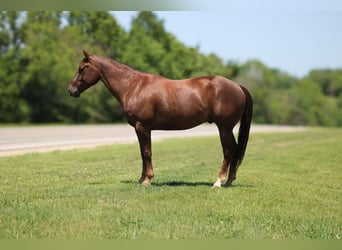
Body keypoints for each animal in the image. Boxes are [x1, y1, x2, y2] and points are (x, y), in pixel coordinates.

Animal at [68, 49, 252, 187]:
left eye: (82, 68)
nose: (71, 90)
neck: (134, 86)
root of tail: (237, 86)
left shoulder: (142, 126)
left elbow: (147, 152)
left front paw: (147, 180)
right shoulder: (140, 128)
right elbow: (143, 153)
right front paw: (141, 179)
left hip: (224, 128)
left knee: (229, 151)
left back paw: (219, 182)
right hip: (227, 129)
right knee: (235, 150)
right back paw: (229, 181)